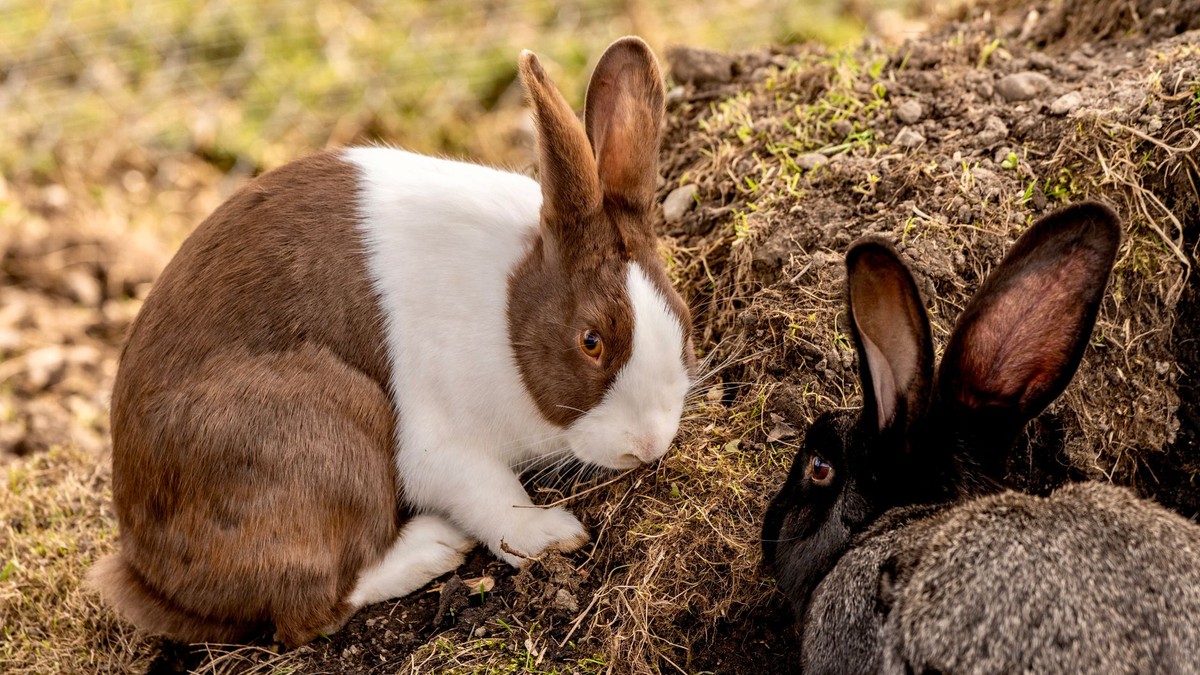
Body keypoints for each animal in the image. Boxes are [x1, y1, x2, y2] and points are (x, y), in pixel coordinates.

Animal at [87, 36, 694, 648]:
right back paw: (434, 548)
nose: (647, 445)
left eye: (683, 316)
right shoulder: (441, 443)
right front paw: (549, 534)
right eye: (591, 341)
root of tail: (148, 574)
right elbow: (489, 495)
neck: (508, 305)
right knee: (310, 609)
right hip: (321, 430)